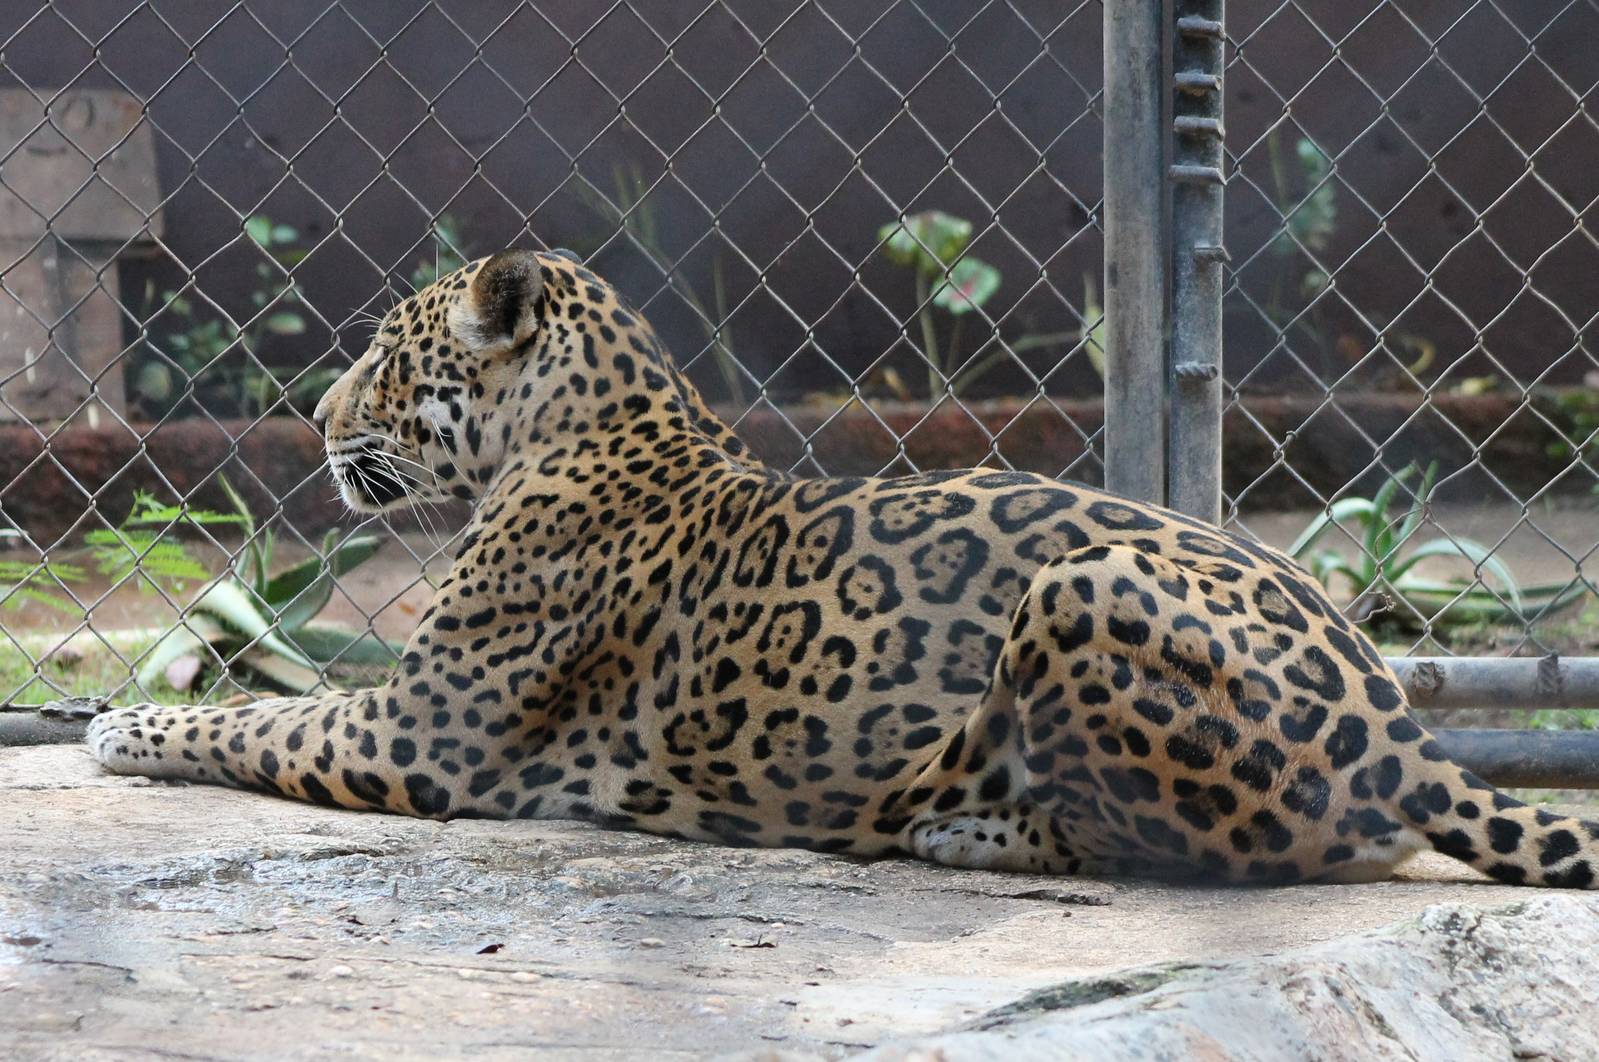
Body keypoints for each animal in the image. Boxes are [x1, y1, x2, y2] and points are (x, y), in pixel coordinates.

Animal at [89, 248, 1599, 888]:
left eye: (388, 361)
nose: (314, 418)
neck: (590, 426)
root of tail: (1404, 728)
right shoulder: (403, 717)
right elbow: (262, 703)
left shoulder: (412, 732)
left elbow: (253, 715)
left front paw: (123, 721)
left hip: (1079, 588)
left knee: (1220, 853)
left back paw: (961, 830)